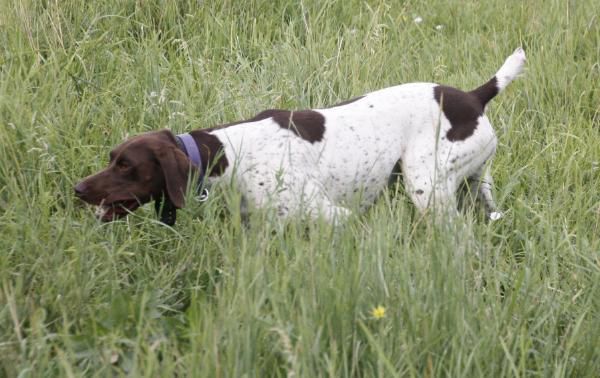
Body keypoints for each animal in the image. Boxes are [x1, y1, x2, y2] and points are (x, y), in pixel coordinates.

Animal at [74, 47, 524, 224]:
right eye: (111, 157)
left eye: (126, 165)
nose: (78, 189)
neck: (227, 155)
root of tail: (474, 96)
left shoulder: (335, 218)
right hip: (474, 186)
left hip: (425, 189)